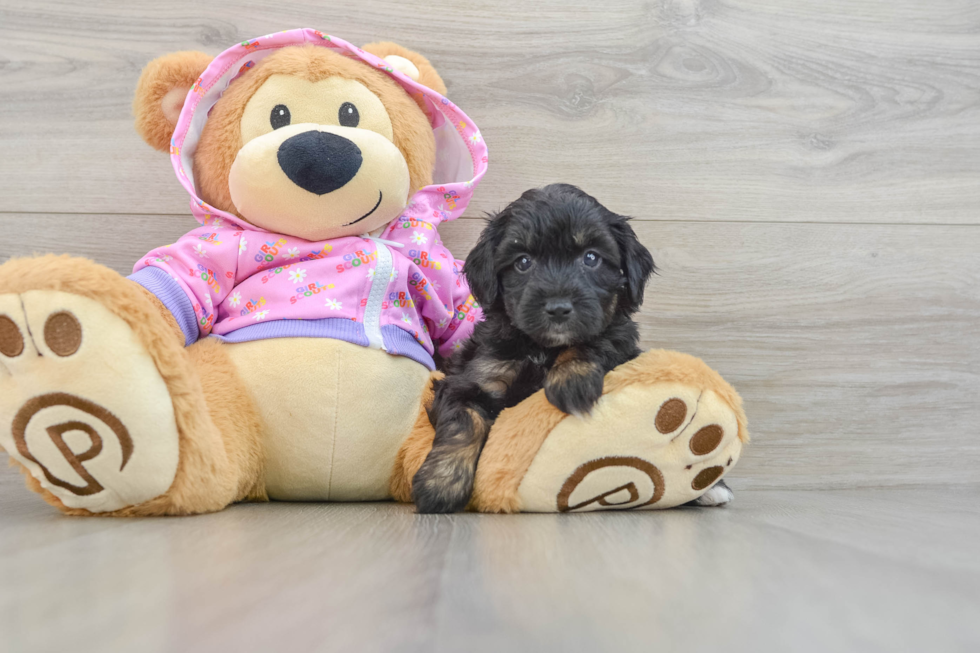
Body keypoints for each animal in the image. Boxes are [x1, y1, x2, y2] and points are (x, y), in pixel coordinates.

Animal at [410, 183, 656, 516]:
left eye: (591, 258)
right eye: (523, 262)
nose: (558, 308)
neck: (541, 347)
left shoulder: (619, 340)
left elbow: (595, 340)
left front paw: (571, 382)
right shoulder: (473, 378)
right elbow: (464, 424)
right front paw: (440, 484)